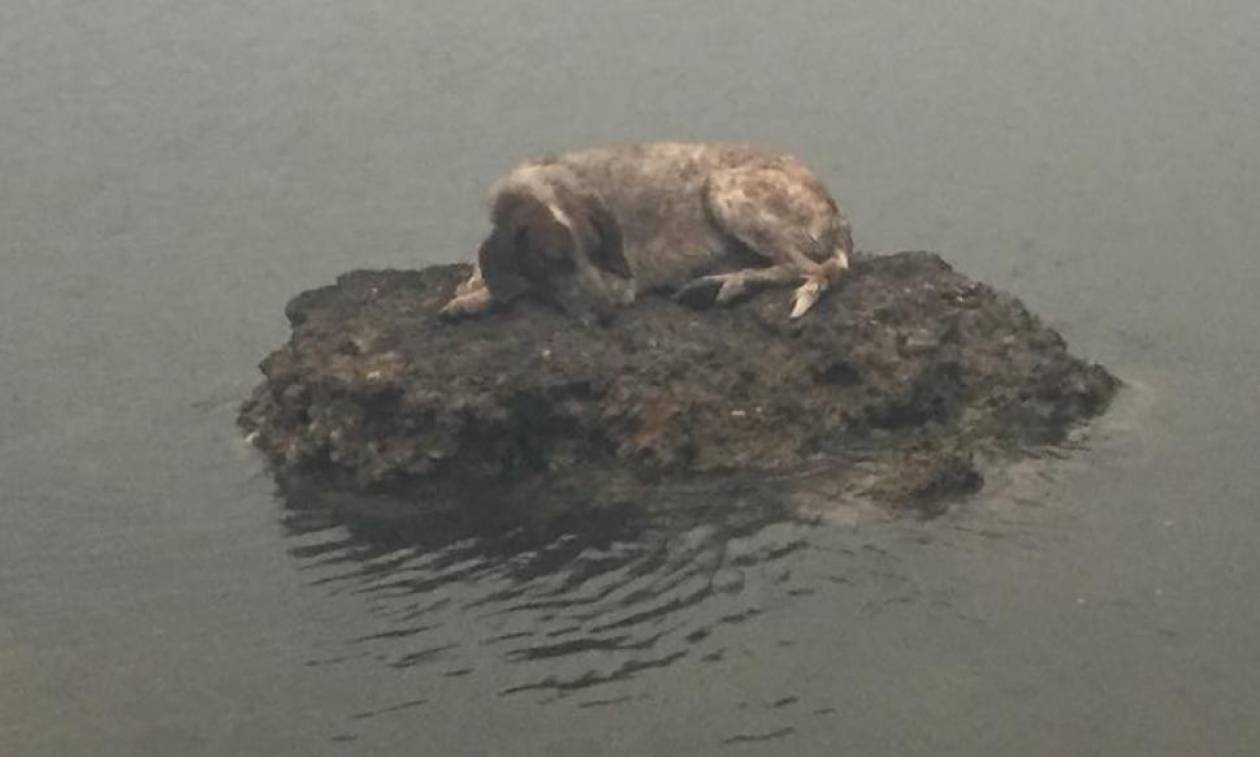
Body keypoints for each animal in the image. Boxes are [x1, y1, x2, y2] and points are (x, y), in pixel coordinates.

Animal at [438, 142, 851, 321]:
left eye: (596, 250)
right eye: (553, 260)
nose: (609, 310)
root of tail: (838, 217)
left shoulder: (621, 280)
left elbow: (520, 289)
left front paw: (474, 299)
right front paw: (472, 286)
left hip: (724, 190)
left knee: (806, 268)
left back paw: (723, 284)